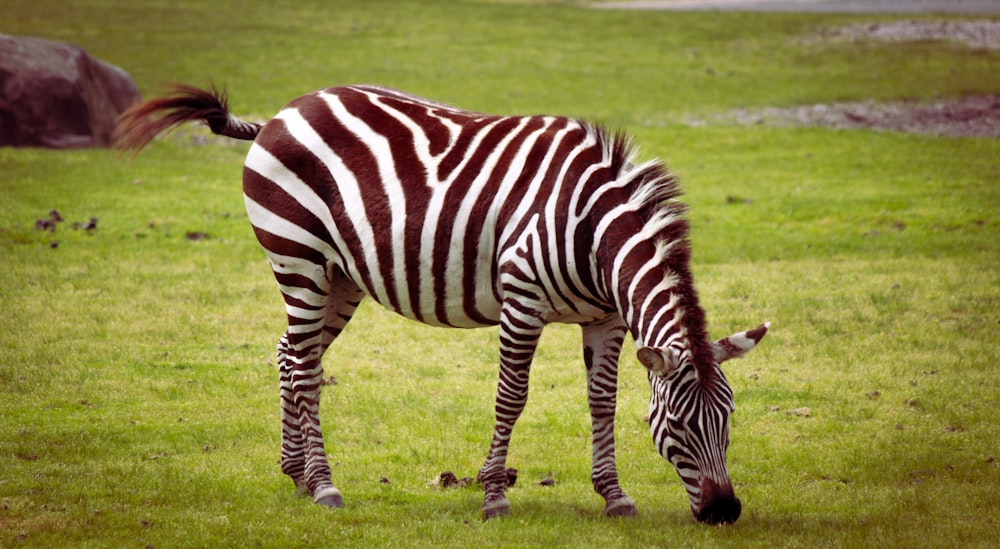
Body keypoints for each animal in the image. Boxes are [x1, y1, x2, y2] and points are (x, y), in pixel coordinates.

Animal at [119, 83, 772, 524]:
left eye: (730, 419)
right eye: (680, 425)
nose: (724, 512)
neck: (593, 231)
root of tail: (284, 111)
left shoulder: (605, 318)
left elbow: (602, 402)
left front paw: (613, 495)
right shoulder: (522, 299)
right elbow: (512, 397)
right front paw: (494, 495)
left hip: (339, 275)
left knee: (289, 352)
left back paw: (297, 474)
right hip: (296, 256)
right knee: (304, 368)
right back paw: (325, 486)